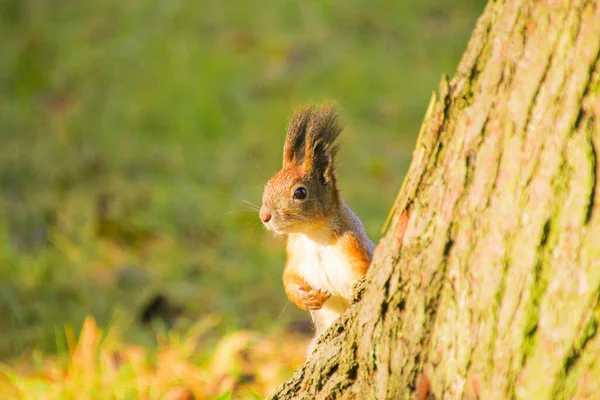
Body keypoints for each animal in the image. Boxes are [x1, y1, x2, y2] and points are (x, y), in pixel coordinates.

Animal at [258, 104, 372, 354]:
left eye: (300, 192)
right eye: (268, 184)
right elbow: (288, 278)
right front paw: (306, 299)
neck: (314, 236)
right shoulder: (295, 253)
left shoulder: (353, 246)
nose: (264, 216)